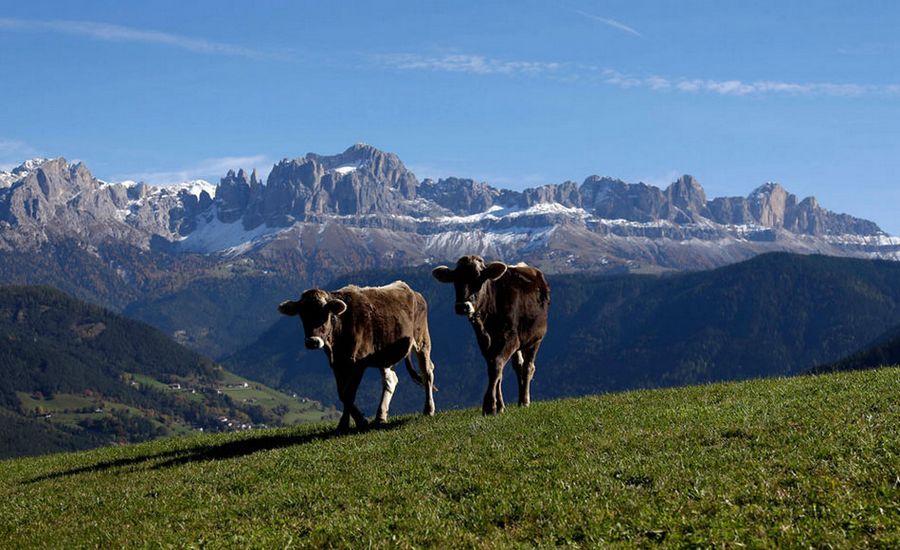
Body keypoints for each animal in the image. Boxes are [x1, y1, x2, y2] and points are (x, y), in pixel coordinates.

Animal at [280, 282, 438, 434]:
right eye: (302, 315)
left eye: (325, 314)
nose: (312, 341)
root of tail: (413, 291)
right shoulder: (337, 365)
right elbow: (342, 394)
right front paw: (347, 423)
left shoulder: (358, 363)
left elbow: (348, 394)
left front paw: (357, 422)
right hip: (385, 353)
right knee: (391, 380)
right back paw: (380, 417)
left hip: (422, 340)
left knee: (427, 372)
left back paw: (429, 409)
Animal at [430, 256, 548, 416]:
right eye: (455, 279)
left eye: (479, 278)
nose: (462, 306)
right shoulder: (484, 341)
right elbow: (494, 369)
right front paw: (499, 406)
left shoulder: (511, 338)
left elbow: (497, 365)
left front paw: (489, 405)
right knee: (518, 366)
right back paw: (518, 401)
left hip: (535, 339)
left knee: (528, 367)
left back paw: (524, 401)